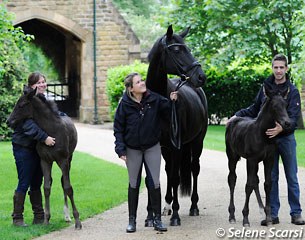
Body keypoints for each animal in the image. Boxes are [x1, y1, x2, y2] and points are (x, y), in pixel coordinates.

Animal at [7, 87, 81, 229]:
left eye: (22, 105)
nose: (8, 121)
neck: (51, 131)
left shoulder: (63, 160)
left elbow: (68, 187)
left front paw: (77, 221)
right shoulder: (45, 161)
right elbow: (46, 188)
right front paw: (46, 219)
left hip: (69, 159)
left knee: (63, 182)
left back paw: (67, 216)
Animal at [144, 24, 207, 225]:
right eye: (177, 50)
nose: (201, 77)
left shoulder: (177, 146)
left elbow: (175, 177)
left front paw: (176, 216)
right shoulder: (152, 146)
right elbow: (153, 178)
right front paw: (150, 216)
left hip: (196, 142)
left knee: (194, 169)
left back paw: (193, 207)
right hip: (168, 149)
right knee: (168, 170)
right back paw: (166, 206)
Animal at [226, 85, 290, 227]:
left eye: (286, 104)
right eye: (274, 106)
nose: (287, 123)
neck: (263, 135)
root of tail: (232, 121)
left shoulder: (269, 160)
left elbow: (268, 184)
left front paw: (269, 218)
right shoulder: (252, 159)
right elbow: (248, 186)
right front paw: (245, 218)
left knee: (255, 180)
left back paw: (262, 211)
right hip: (232, 157)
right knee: (232, 179)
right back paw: (232, 215)